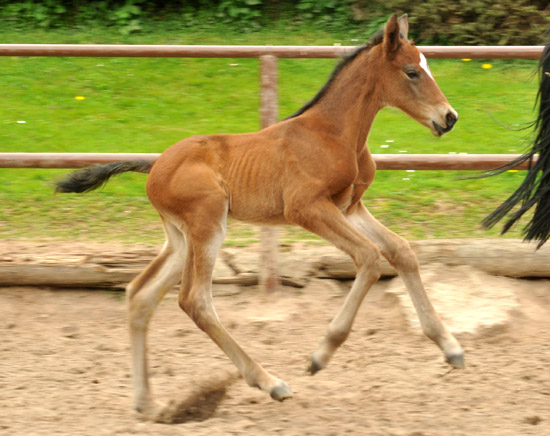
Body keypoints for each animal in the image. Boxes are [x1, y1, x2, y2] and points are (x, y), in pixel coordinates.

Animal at [57, 14, 466, 418]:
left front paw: (451, 348)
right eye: (412, 72)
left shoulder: (349, 207)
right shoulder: (307, 208)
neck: (334, 134)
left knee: (141, 294)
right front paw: (319, 356)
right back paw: (270, 383)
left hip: (181, 238)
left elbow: (401, 251)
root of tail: (155, 166)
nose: (449, 118)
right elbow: (369, 257)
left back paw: (147, 404)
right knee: (195, 300)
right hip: (208, 224)